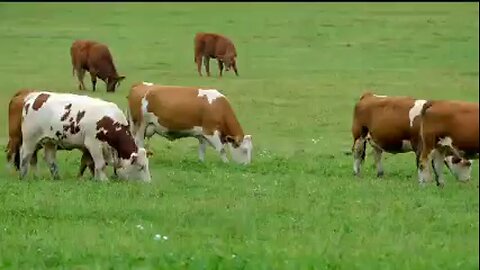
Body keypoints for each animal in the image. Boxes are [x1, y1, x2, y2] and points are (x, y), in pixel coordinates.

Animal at [18, 90, 150, 181]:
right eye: (141, 167)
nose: (148, 183)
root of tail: (35, 96)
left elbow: (90, 163)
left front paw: (96, 178)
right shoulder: (93, 144)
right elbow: (100, 164)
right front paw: (103, 180)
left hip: (50, 141)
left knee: (50, 159)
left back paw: (57, 177)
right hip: (30, 139)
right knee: (25, 155)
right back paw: (23, 176)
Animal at [127, 81, 255, 163]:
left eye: (250, 150)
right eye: (244, 150)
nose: (246, 166)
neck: (218, 107)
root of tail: (140, 85)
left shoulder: (202, 134)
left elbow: (202, 149)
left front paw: (201, 162)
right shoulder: (210, 131)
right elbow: (222, 149)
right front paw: (226, 163)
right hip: (139, 125)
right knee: (139, 143)